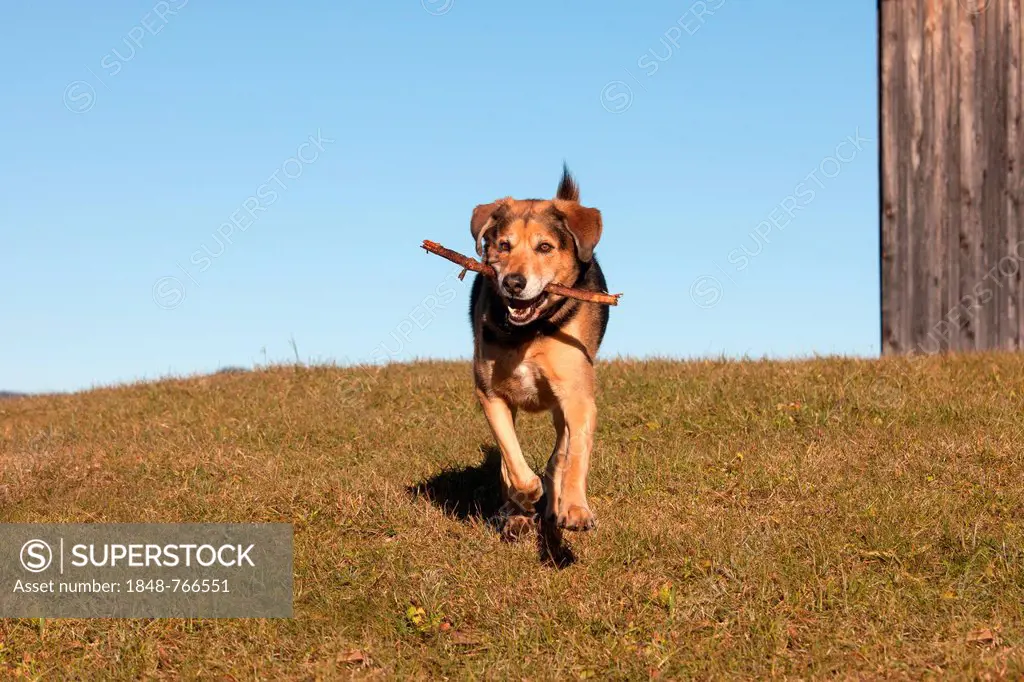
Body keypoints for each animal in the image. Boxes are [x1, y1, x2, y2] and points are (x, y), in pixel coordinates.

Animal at [468, 165, 606, 536]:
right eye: (503, 246)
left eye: (545, 247)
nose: (513, 283)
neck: (529, 331)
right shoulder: (490, 394)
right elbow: (511, 459)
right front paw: (526, 494)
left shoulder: (577, 397)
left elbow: (573, 457)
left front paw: (574, 508)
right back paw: (517, 513)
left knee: (560, 452)